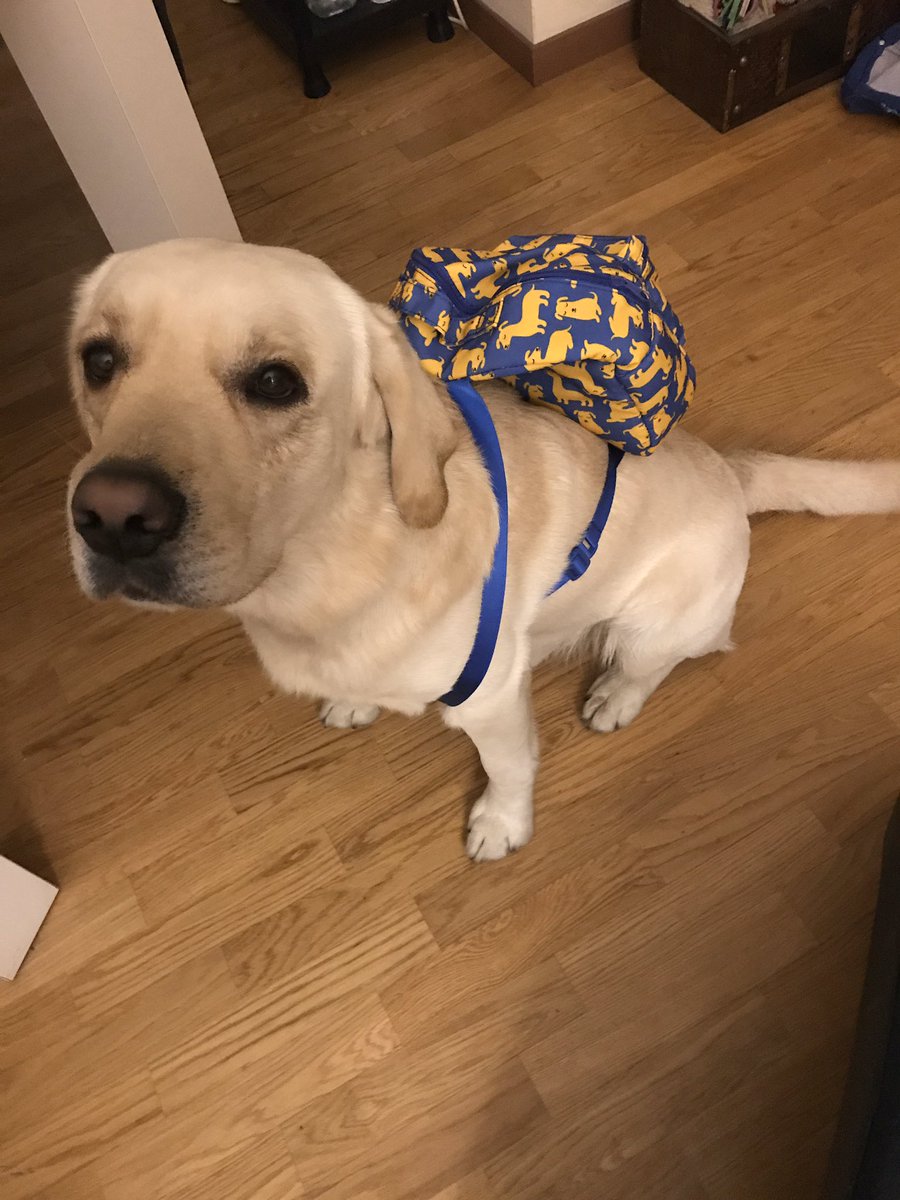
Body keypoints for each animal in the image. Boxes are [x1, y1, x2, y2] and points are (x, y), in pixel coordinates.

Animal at [66, 239, 900, 861]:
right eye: (98, 360)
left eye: (276, 381)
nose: (111, 516)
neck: (332, 567)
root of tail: (732, 467)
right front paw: (355, 699)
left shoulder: (491, 692)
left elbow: (510, 765)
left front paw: (502, 824)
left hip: (654, 621)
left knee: (657, 663)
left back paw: (614, 696)